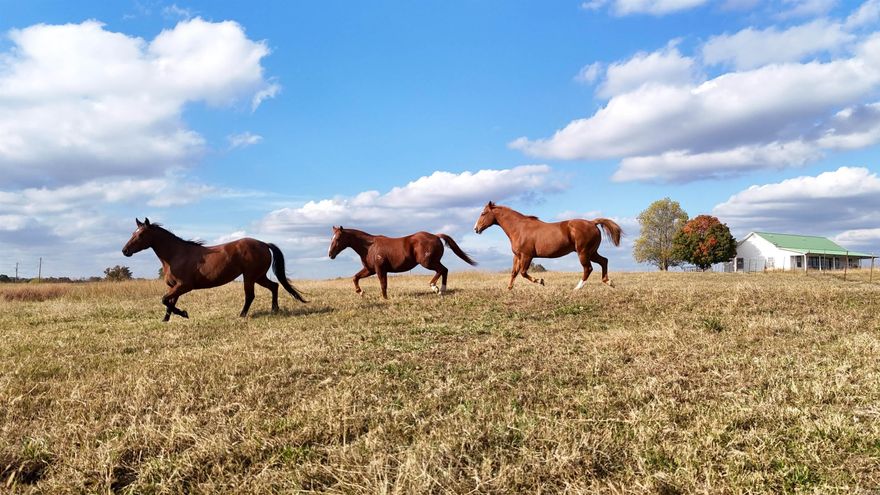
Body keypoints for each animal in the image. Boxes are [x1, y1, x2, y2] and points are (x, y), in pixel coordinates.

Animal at [122, 218, 306, 321]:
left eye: (141, 235)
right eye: (132, 232)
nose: (125, 251)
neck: (176, 255)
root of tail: (264, 244)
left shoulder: (184, 286)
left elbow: (164, 300)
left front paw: (184, 314)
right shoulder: (175, 287)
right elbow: (169, 303)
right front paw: (166, 320)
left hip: (250, 276)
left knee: (250, 295)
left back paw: (242, 315)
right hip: (259, 276)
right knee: (274, 286)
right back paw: (275, 310)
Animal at [327, 226, 477, 298]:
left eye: (338, 238)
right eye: (331, 238)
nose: (330, 254)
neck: (369, 247)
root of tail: (436, 236)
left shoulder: (380, 269)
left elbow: (383, 284)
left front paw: (385, 299)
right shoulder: (370, 270)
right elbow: (355, 278)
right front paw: (361, 292)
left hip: (428, 263)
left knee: (442, 270)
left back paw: (435, 287)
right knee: (444, 270)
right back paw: (442, 290)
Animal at [472, 202, 622, 290]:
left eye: (483, 213)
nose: (476, 229)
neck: (519, 228)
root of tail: (592, 222)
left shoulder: (527, 256)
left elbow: (523, 273)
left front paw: (540, 281)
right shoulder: (517, 256)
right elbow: (514, 273)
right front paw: (509, 289)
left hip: (583, 252)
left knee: (588, 268)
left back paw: (577, 288)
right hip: (591, 252)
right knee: (604, 261)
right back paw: (609, 282)